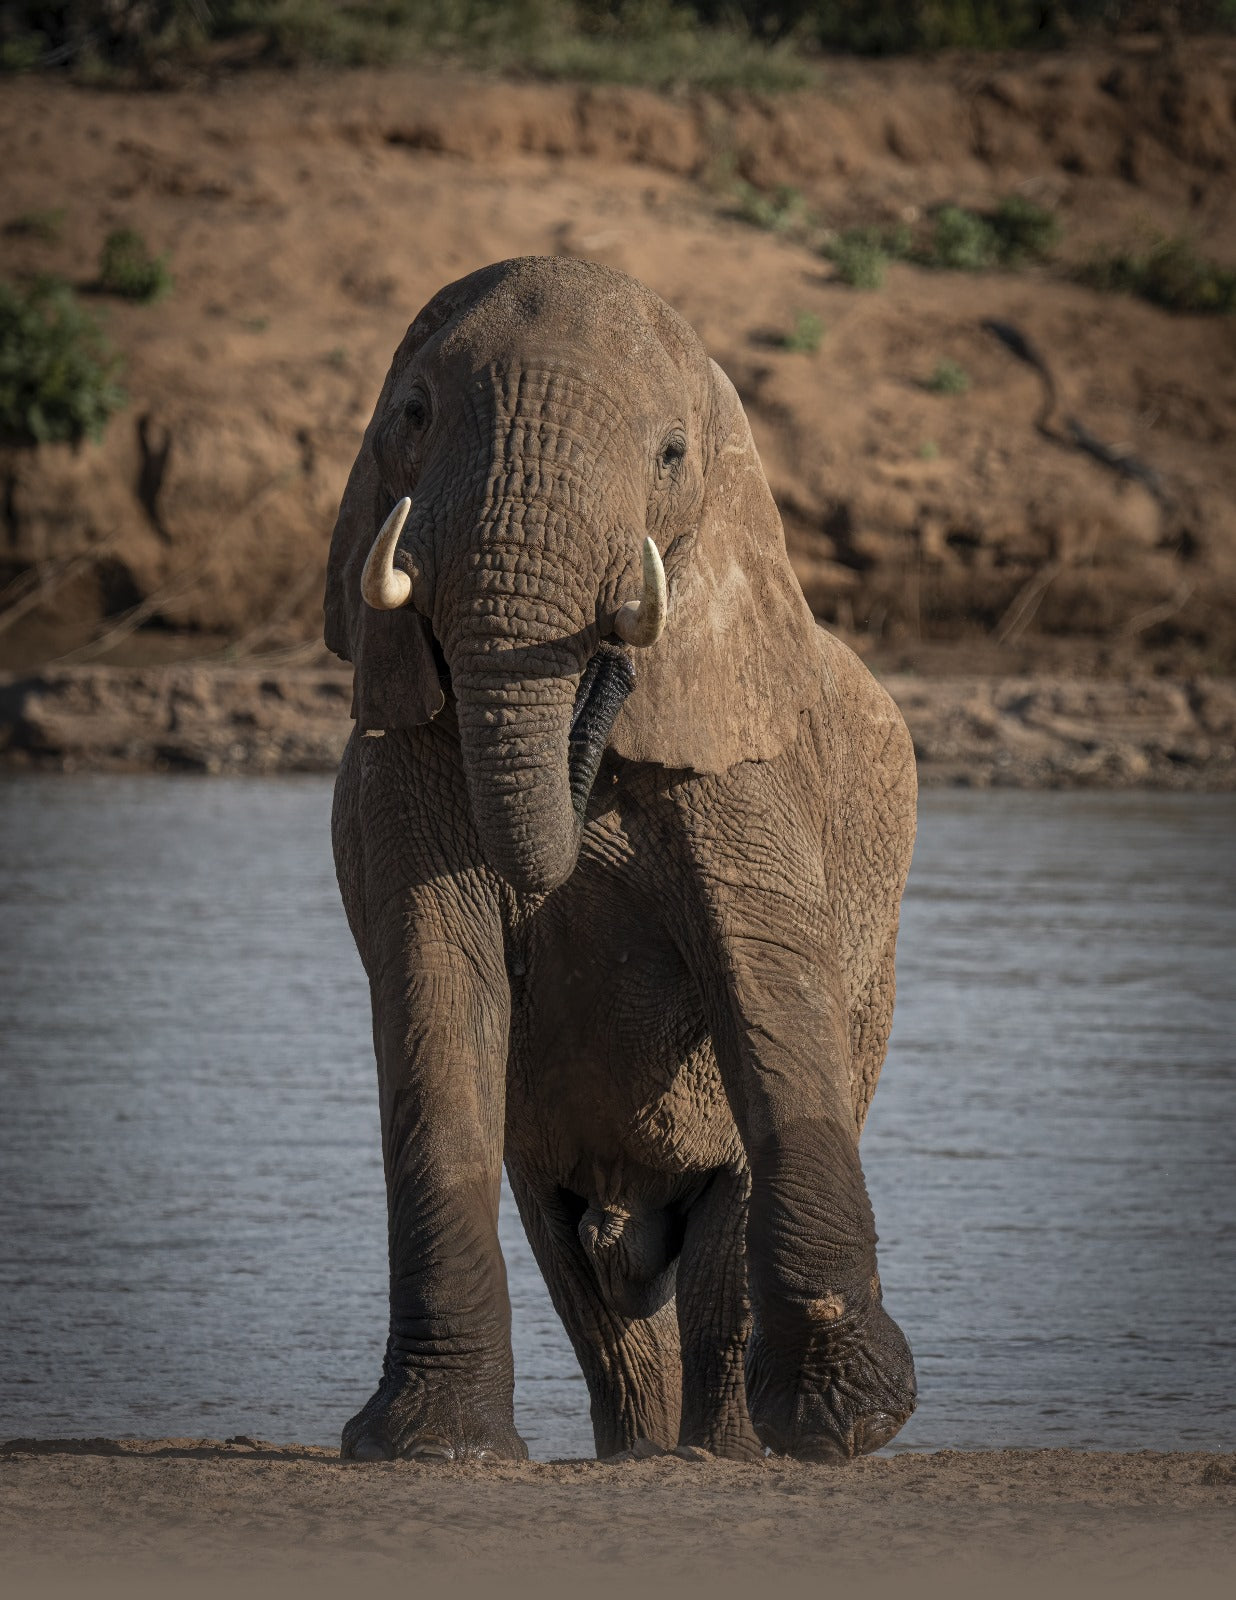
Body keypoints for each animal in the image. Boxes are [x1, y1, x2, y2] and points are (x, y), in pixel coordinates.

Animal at [323, 252, 922, 1465]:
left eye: (671, 455)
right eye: (411, 415)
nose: (608, 659)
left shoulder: (744, 762)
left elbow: (768, 989)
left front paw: (853, 1424)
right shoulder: (395, 771)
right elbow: (437, 987)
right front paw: (429, 1448)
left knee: (713, 1267)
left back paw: (724, 1453)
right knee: (597, 1301)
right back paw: (643, 1453)